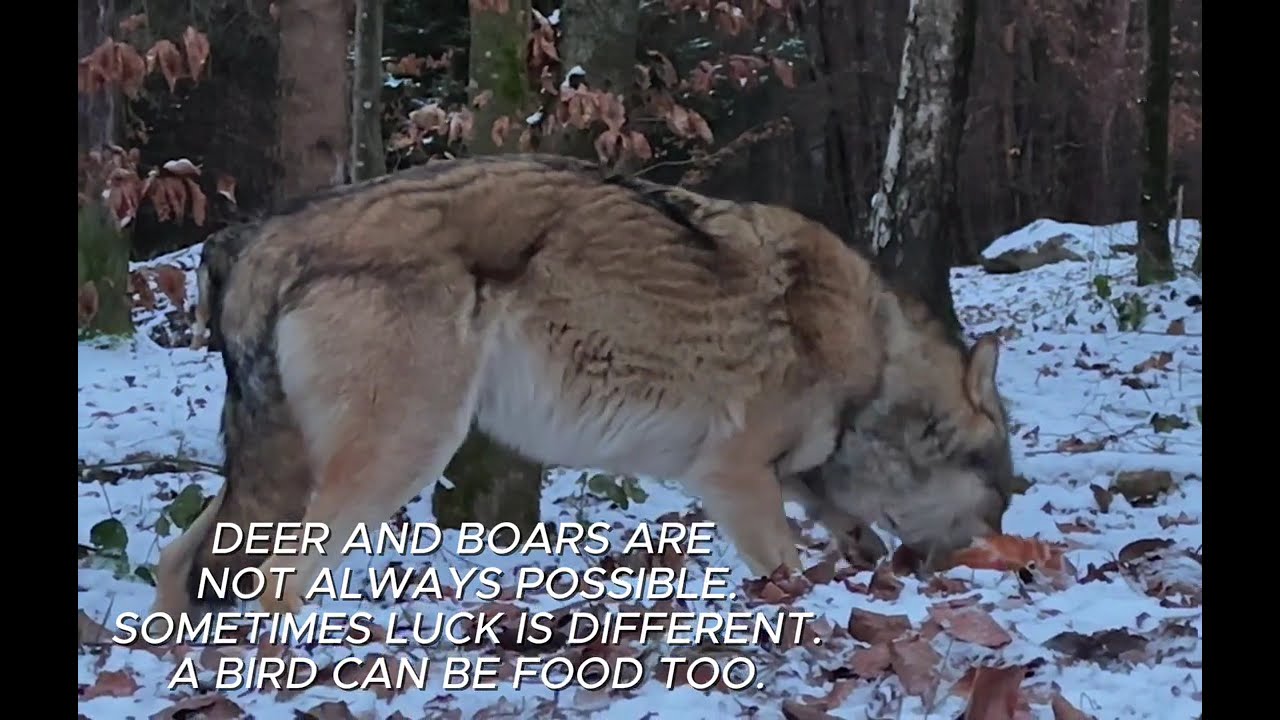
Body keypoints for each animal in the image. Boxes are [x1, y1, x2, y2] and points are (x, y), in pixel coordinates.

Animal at [151, 154, 1015, 619]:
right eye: (999, 495)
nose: (992, 554)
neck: (873, 367)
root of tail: (257, 240)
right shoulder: (731, 475)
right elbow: (789, 567)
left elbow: (840, 524)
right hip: (404, 454)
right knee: (276, 584)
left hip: (289, 473)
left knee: (177, 559)